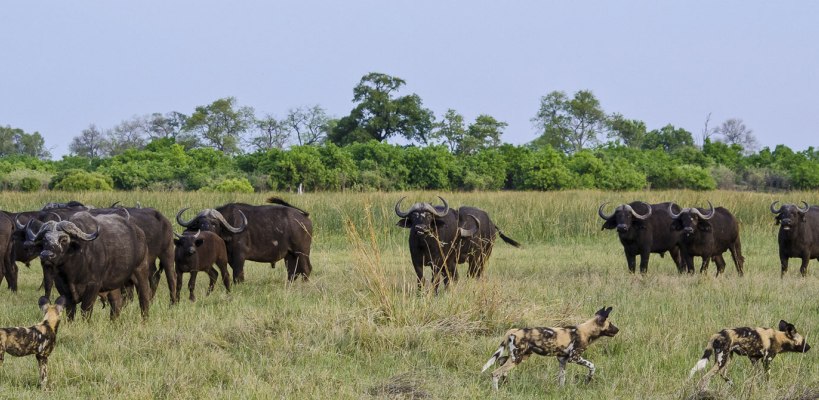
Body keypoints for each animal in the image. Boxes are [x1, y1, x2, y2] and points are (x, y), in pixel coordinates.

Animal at [176, 197, 314, 282]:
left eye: (214, 224)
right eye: (200, 223)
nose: (206, 232)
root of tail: (304, 216)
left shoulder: (239, 256)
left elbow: (238, 275)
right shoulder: (230, 258)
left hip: (302, 252)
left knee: (306, 269)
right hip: (290, 255)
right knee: (293, 272)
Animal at [480, 306, 620, 388]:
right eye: (610, 324)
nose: (618, 329)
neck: (586, 331)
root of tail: (513, 331)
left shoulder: (562, 360)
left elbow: (562, 378)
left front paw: (562, 391)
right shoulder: (574, 358)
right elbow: (592, 366)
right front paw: (588, 379)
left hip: (520, 356)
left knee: (501, 361)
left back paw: (505, 382)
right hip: (517, 358)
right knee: (495, 373)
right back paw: (496, 391)